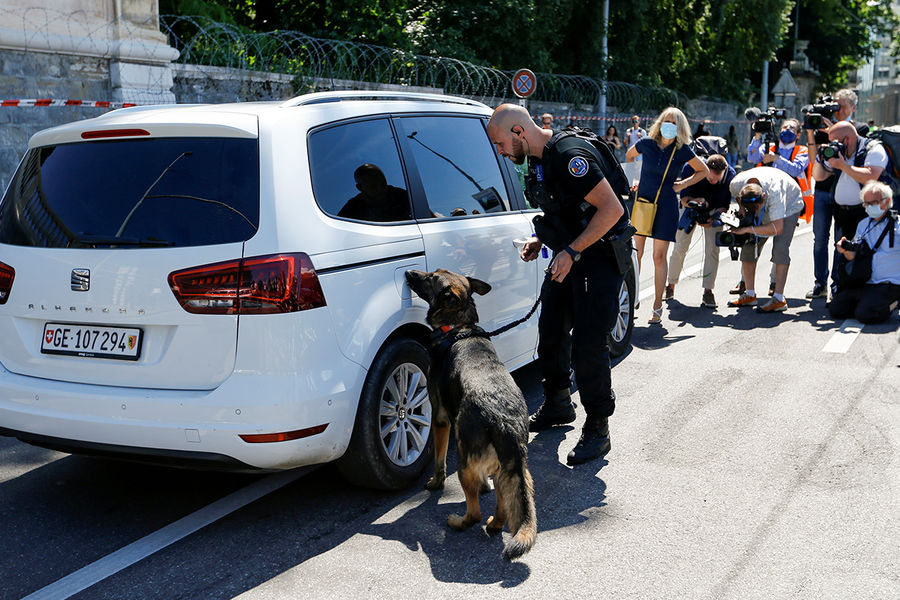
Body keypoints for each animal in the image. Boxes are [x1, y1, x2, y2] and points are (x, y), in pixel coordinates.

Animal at [406, 270, 536, 560]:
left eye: (430, 277)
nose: (408, 272)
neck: (458, 327)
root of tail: (505, 422)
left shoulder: (440, 419)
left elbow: (438, 460)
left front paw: (435, 483)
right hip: (510, 470)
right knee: (503, 509)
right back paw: (494, 524)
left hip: (464, 463)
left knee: (474, 512)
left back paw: (458, 522)